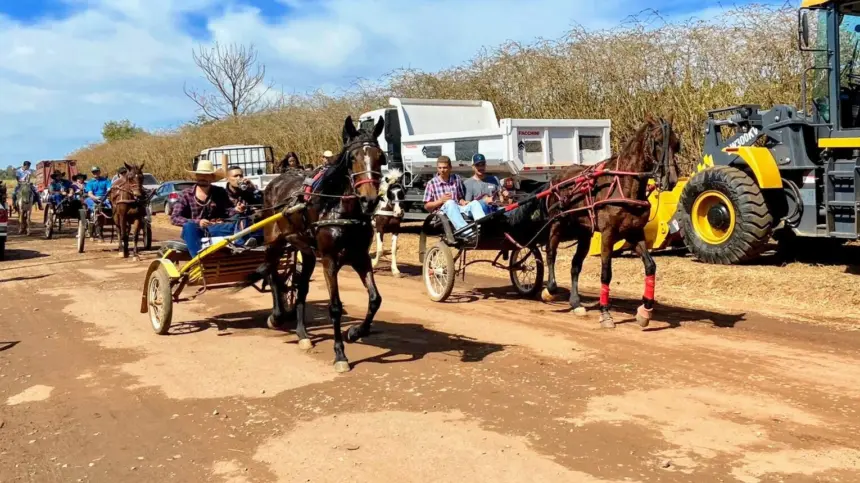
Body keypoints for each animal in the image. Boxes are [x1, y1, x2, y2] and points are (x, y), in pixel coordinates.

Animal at [235, 115, 382, 372]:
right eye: (352, 158)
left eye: (380, 156)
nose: (370, 199)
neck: (338, 208)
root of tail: (274, 182)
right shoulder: (330, 260)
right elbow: (335, 306)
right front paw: (340, 354)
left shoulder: (360, 257)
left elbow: (375, 299)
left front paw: (356, 331)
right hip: (274, 241)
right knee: (273, 274)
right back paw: (276, 316)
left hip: (306, 251)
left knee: (301, 287)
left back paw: (302, 333)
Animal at [536, 116, 680, 330]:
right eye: (658, 142)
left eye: (676, 144)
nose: (671, 180)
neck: (624, 185)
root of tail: (557, 178)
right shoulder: (608, 234)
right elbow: (606, 273)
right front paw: (605, 313)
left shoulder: (634, 232)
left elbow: (650, 266)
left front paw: (645, 311)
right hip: (557, 224)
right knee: (551, 254)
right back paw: (550, 290)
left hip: (584, 233)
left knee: (575, 265)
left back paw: (576, 303)